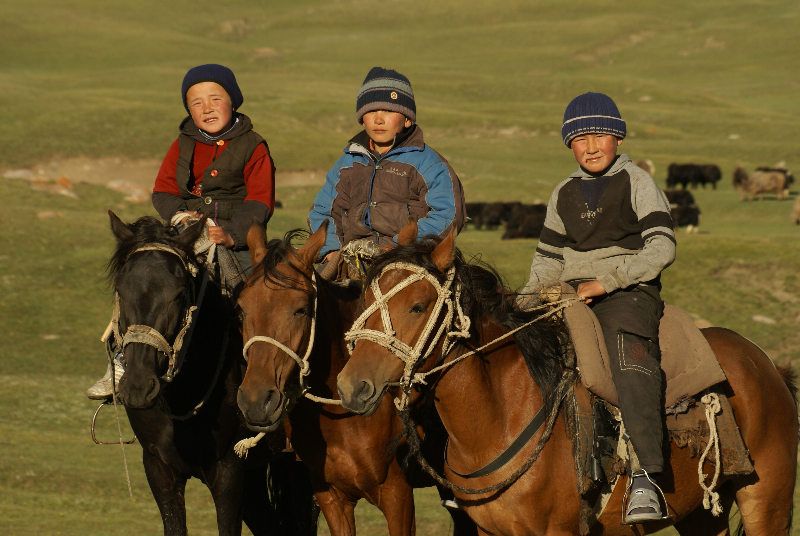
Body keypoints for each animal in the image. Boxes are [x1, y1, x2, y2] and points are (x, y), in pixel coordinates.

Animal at [235, 221, 478, 536]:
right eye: (241, 310)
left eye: (300, 309)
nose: (256, 401)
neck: (344, 420)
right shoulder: (330, 496)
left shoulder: (397, 496)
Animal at [336, 221, 799, 536]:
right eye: (363, 297)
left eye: (417, 306)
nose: (351, 386)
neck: (500, 415)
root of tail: (767, 366)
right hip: (701, 513)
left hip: (767, 503)